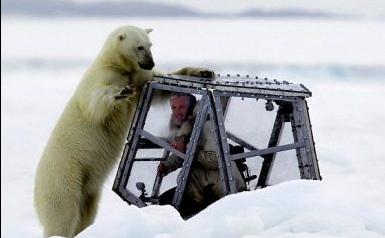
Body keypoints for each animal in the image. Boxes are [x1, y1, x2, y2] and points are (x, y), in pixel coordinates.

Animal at [33, 25, 213, 237]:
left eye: (150, 44)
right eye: (139, 47)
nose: (150, 63)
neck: (117, 65)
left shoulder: (139, 77)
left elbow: (161, 87)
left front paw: (203, 71)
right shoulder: (103, 77)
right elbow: (96, 103)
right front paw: (121, 92)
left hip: (88, 188)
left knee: (87, 211)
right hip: (64, 175)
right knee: (63, 213)